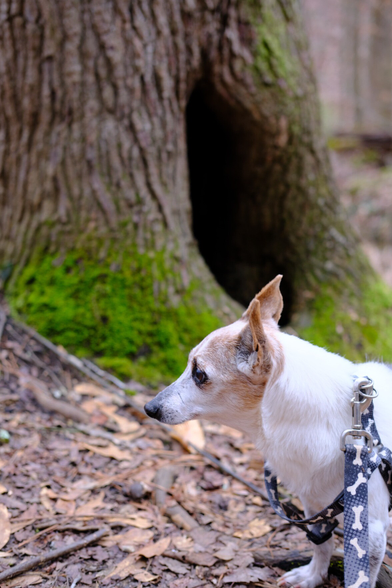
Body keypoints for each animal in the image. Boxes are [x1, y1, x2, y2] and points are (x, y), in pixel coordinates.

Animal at [145, 276, 392, 588]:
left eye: (199, 374)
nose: (149, 407)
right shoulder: (314, 505)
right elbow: (321, 543)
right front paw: (313, 576)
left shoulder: (369, 528)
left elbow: (360, 575)